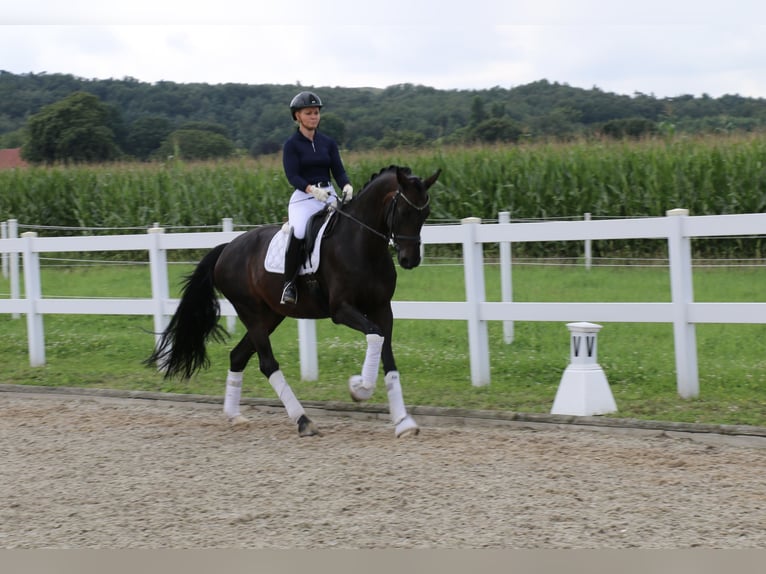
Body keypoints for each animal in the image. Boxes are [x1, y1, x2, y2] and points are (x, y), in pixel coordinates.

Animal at [146, 166, 440, 440]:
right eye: (403, 211)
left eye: (425, 214)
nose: (410, 260)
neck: (362, 244)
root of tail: (227, 248)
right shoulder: (342, 310)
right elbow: (375, 337)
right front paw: (360, 388)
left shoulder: (382, 309)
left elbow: (387, 357)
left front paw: (403, 422)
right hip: (251, 313)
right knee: (267, 364)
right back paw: (303, 420)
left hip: (271, 316)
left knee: (238, 355)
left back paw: (234, 416)